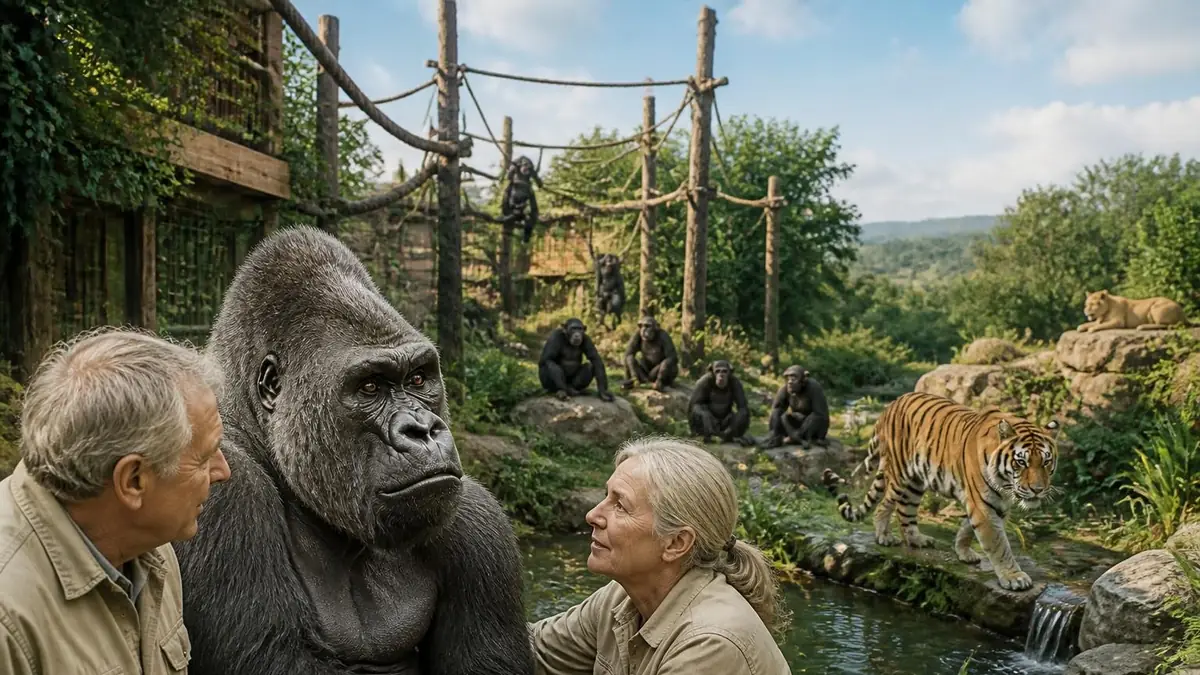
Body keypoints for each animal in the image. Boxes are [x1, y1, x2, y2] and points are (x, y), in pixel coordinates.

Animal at [821, 391, 1060, 591]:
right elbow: (998, 544)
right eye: (1021, 462)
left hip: (915, 482)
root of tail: (891, 405)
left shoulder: (994, 503)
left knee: (905, 511)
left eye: (1046, 461)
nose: (1037, 490)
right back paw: (884, 536)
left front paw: (964, 552)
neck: (1005, 483)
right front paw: (1014, 577)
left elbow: (967, 528)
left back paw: (916, 539)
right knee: (885, 504)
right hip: (900, 475)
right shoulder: (983, 504)